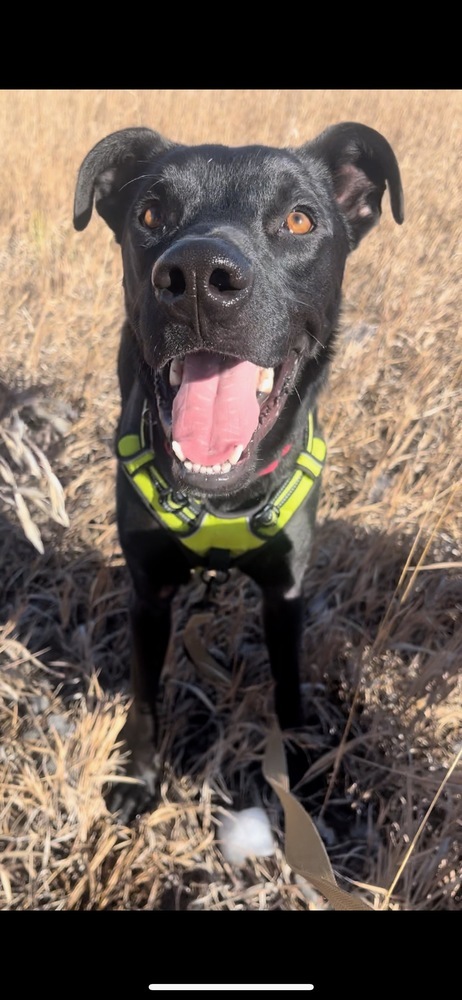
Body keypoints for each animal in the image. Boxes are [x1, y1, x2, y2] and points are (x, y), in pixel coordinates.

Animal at [74, 121, 402, 816]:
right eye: (150, 213)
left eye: (300, 219)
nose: (198, 274)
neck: (221, 497)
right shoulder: (149, 592)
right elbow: (145, 695)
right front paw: (137, 775)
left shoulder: (286, 593)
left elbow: (288, 686)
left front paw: (302, 769)